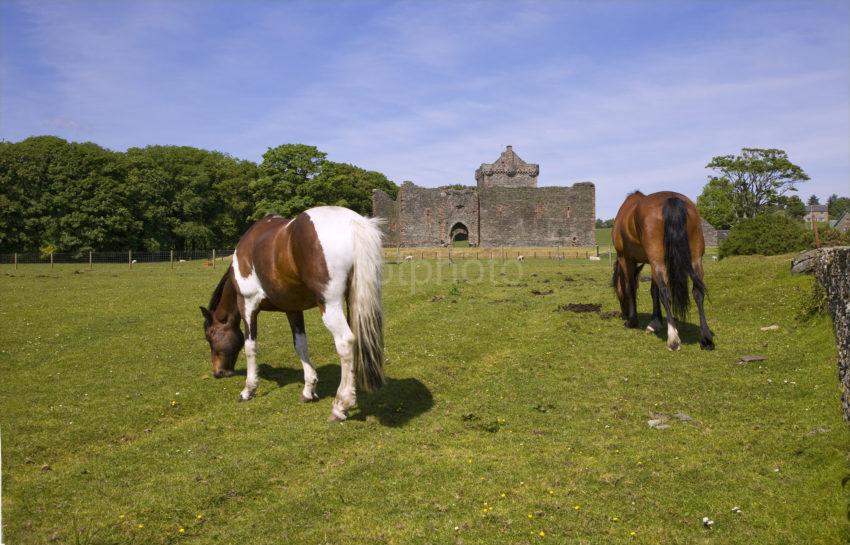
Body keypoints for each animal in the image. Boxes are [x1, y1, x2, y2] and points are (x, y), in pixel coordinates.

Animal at [199, 206, 384, 422]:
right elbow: (300, 345)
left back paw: (341, 406)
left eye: (210, 336)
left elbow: (250, 347)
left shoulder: (247, 305)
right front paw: (309, 390)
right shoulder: (293, 309)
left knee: (345, 342)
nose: (218, 372)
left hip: (330, 305)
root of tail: (353, 222)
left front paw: (248, 389)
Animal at [612, 191, 712, 350]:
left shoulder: (625, 258)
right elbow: (654, 291)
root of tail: (671, 199)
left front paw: (632, 321)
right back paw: (706, 339)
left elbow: (630, 288)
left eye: (617, 292)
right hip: (695, 259)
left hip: (657, 260)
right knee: (698, 292)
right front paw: (655, 321)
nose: (624, 314)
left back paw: (673, 339)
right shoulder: (652, 264)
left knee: (666, 293)